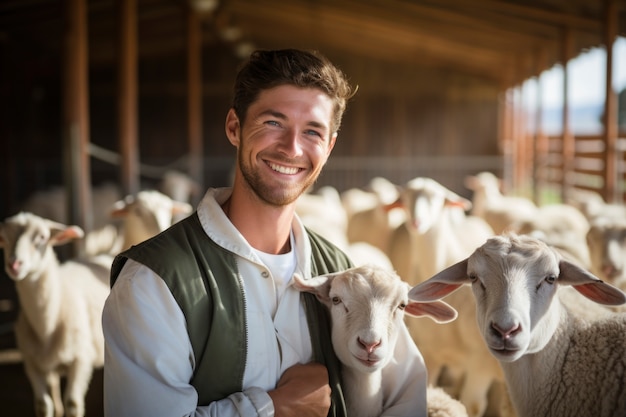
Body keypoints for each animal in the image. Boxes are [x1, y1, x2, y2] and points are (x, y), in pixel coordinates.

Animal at [0, 211, 109, 416]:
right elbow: (43, 405)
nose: (14, 264)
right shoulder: (31, 362)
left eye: (42, 237)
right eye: (3, 238)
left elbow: (73, 403)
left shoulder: (82, 359)